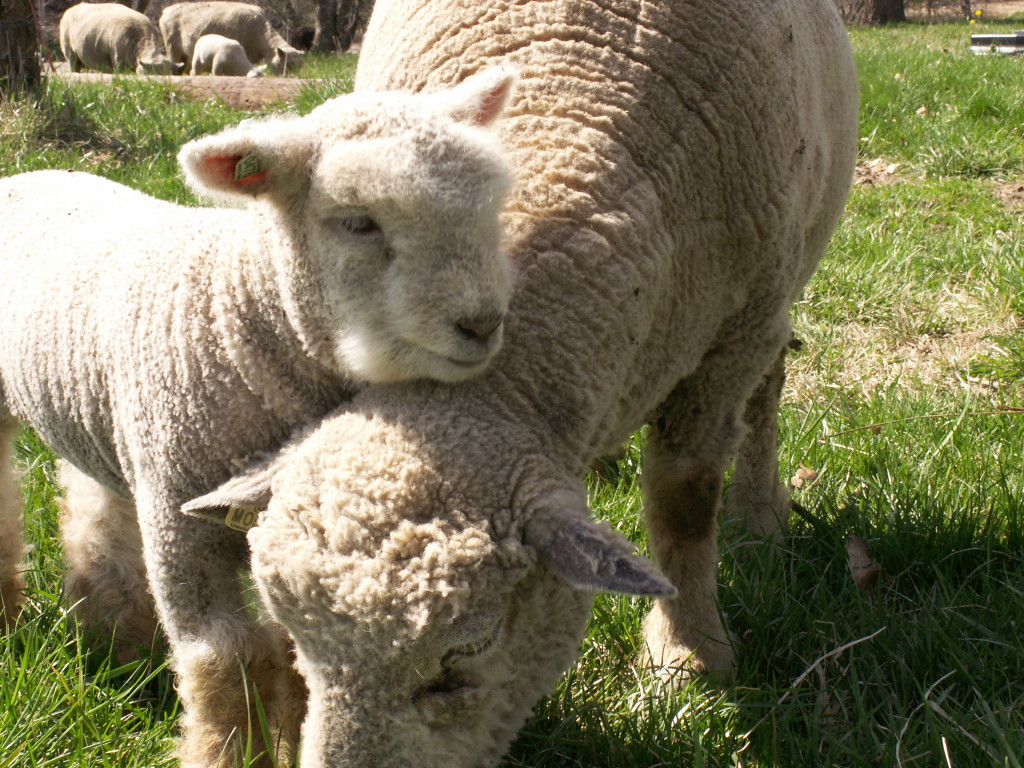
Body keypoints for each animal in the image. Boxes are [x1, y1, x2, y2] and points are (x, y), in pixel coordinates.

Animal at [0, 68, 518, 768]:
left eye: (486, 211)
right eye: (356, 222)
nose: (482, 324)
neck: (239, 310)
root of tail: (30, 172)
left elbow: (297, 658)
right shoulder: (178, 520)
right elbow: (227, 658)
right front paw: (229, 751)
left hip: (105, 414)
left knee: (95, 507)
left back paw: (116, 634)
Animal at [177, 0, 861, 765]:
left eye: (466, 653)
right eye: (298, 642)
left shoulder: (735, 332)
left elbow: (684, 499)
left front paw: (690, 655)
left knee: (767, 390)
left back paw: (758, 515)